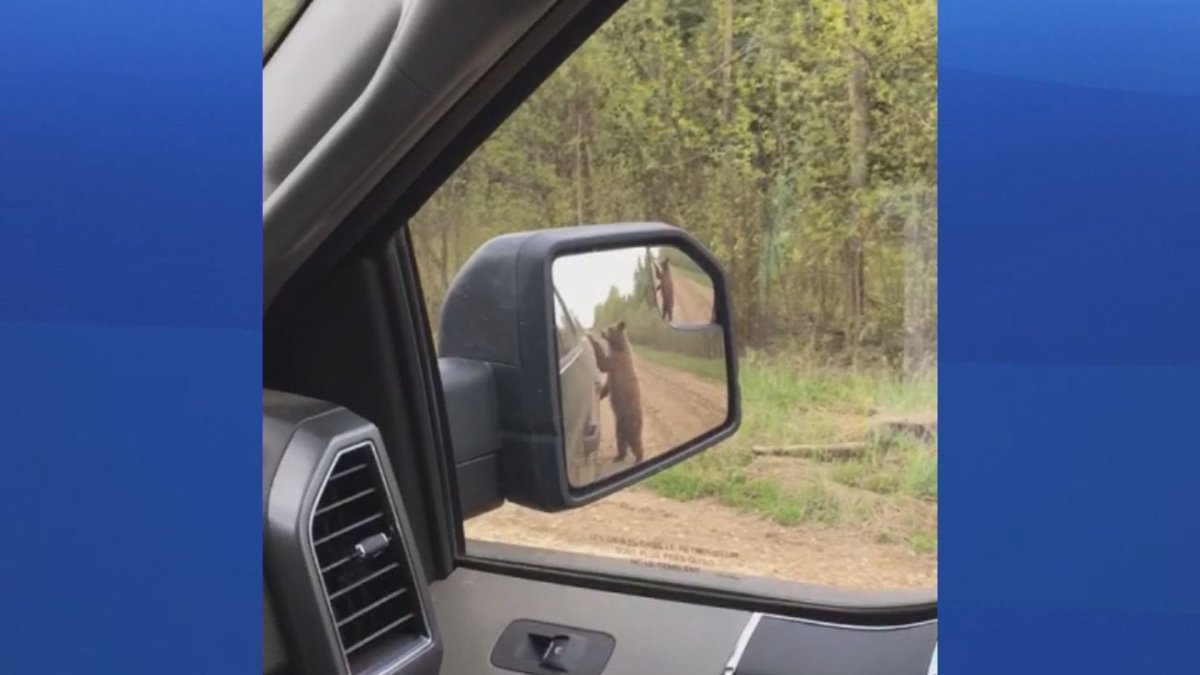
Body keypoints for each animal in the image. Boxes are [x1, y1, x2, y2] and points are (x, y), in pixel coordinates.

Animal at [586, 321, 644, 463]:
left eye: (610, 328)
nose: (602, 332)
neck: (618, 347)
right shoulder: (612, 373)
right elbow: (607, 385)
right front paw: (601, 394)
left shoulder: (616, 362)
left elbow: (602, 363)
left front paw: (590, 337)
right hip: (620, 427)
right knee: (621, 442)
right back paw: (618, 456)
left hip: (632, 422)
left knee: (636, 442)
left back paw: (639, 457)